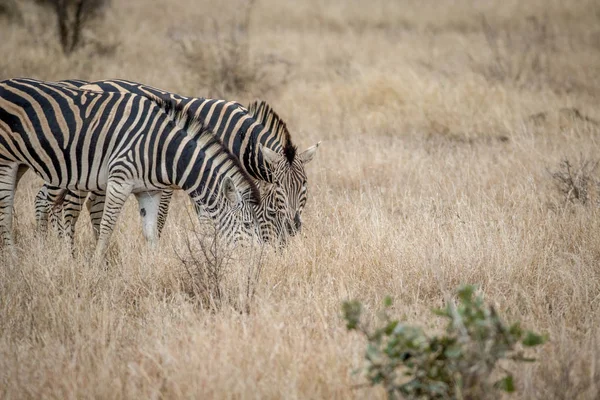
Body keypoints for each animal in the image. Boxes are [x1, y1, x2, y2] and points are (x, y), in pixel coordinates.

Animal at [1, 79, 260, 264]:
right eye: (248, 225)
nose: (259, 261)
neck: (162, 147)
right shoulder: (120, 180)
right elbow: (107, 227)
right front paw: (96, 267)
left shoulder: (149, 192)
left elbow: (151, 232)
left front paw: (155, 267)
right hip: (7, 161)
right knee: (8, 212)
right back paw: (15, 261)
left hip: (22, 165)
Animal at [37, 79, 318, 244]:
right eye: (279, 188)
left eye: (304, 185)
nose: (292, 230)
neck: (237, 136)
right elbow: (205, 217)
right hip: (75, 168)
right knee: (60, 206)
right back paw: (66, 254)